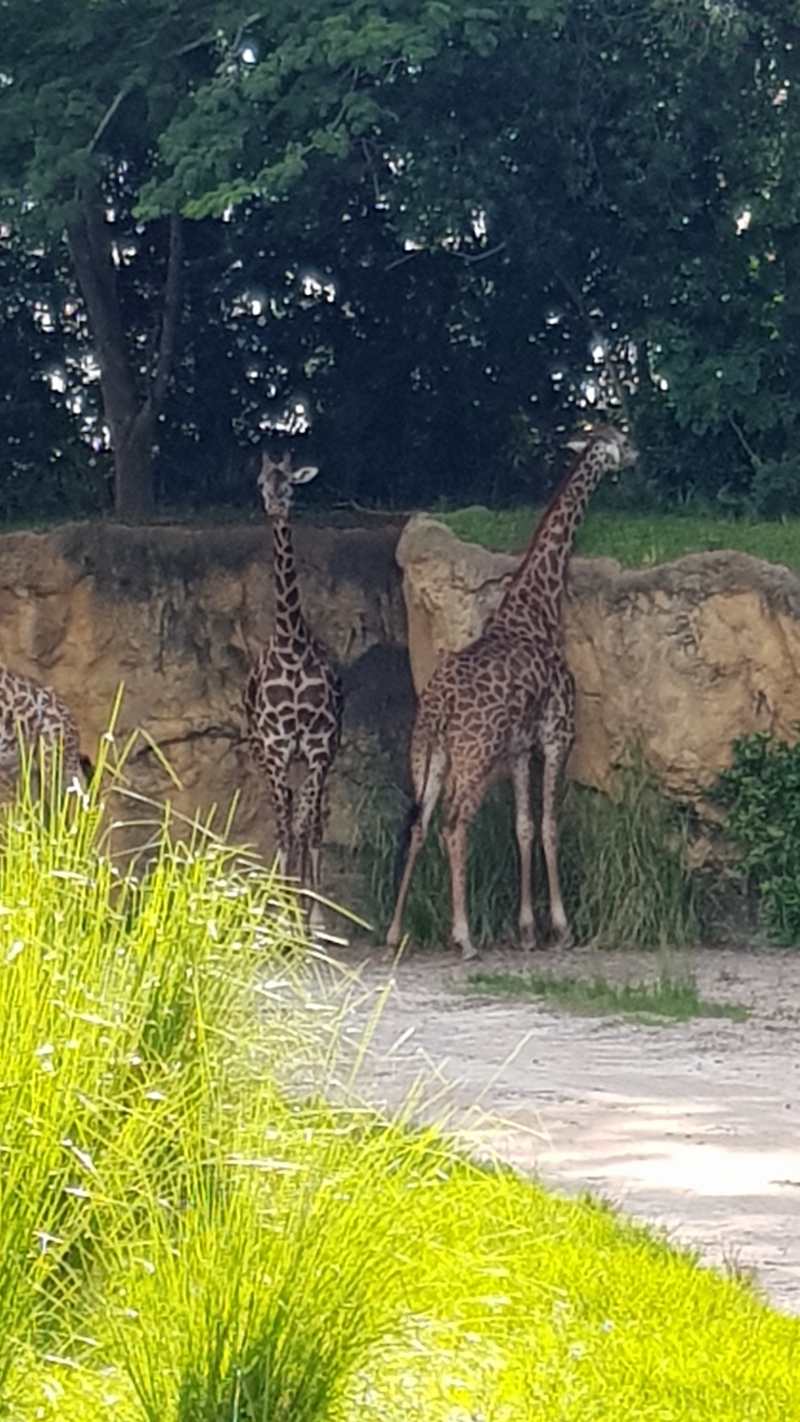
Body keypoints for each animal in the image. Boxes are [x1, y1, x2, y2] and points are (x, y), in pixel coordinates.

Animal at [387, 424, 637, 961]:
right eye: (620, 440)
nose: (636, 455)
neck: (537, 608)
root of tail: (441, 706)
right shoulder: (557, 734)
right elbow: (549, 824)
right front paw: (561, 929)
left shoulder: (520, 747)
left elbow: (522, 826)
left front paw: (526, 930)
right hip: (473, 755)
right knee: (454, 826)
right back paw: (464, 937)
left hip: (428, 753)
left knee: (419, 823)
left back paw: (395, 933)